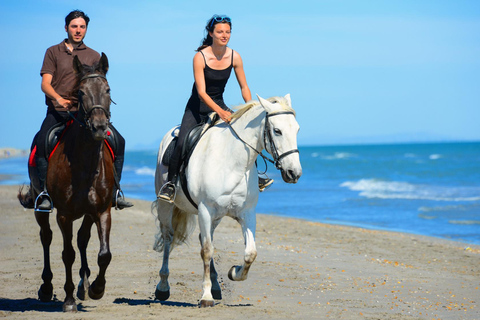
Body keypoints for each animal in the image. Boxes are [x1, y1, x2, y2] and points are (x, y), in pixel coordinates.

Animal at [19, 53, 117, 312]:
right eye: (80, 92)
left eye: (108, 89)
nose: (99, 127)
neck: (84, 164)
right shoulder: (63, 215)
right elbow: (67, 254)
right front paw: (70, 300)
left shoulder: (102, 210)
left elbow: (104, 254)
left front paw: (95, 289)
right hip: (42, 208)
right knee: (46, 237)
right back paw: (47, 287)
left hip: (88, 213)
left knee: (83, 240)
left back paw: (84, 284)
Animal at [152, 94, 302, 308]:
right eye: (277, 131)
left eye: (297, 129)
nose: (294, 173)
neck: (233, 163)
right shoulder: (205, 210)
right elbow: (207, 251)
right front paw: (206, 297)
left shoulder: (247, 213)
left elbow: (250, 253)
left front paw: (234, 272)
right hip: (168, 206)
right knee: (168, 238)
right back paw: (163, 287)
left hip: (217, 217)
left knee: (204, 237)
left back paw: (215, 286)